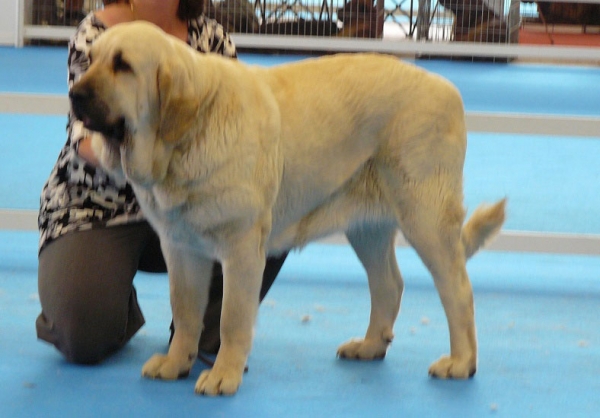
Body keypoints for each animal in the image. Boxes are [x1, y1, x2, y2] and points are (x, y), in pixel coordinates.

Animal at [69, 22, 506, 396]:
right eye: (90, 60)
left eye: (123, 65)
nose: (74, 95)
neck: (189, 132)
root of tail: (447, 87)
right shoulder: (182, 248)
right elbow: (187, 309)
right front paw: (177, 363)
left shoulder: (242, 248)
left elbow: (231, 318)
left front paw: (223, 375)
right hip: (367, 228)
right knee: (388, 284)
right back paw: (369, 346)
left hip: (425, 218)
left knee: (457, 290)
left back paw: (461, 362)